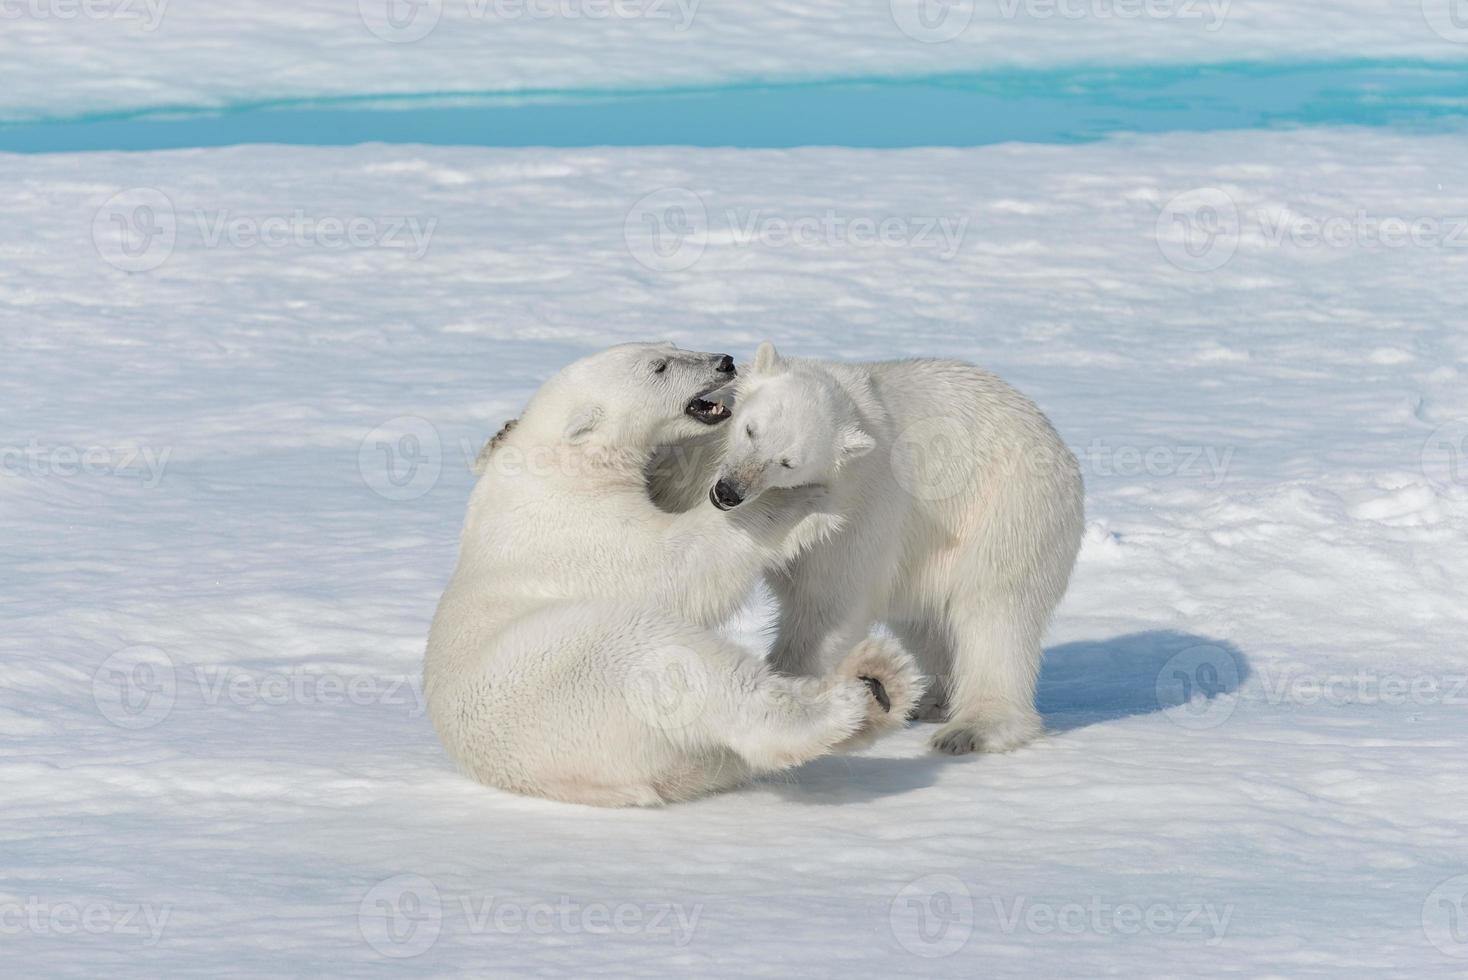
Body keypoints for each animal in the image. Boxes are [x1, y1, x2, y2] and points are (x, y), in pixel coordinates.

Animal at [422, 340, 916, 809]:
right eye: (659, 367)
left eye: (671, 344)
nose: (724, 361)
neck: (554, 461)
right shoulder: (585, 532)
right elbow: (680, 564)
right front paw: (801, 499)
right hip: (585, 668)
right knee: (689, 671)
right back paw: (854, 699)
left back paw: (881, 683)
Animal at [710, 344, 1092, 757]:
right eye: (751, 430)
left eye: (787, 462)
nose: (729, 491)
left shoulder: (860, 512)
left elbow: (828, 605)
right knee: (925, 623)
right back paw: (935, 700)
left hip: (1008, 513)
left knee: (993, 616)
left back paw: (973, 728)